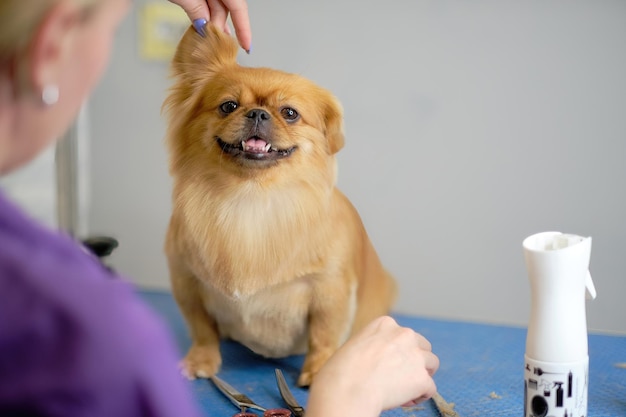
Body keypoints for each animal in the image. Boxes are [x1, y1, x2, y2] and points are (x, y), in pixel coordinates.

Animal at [162, 24, 394, 386]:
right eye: (228, 106)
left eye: (289, 113)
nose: (257, 113)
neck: (250, 197)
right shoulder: (187, 282)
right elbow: (202, 330)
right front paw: (202, 360)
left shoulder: (330, 291)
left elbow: (323, 336)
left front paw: (320, 370)